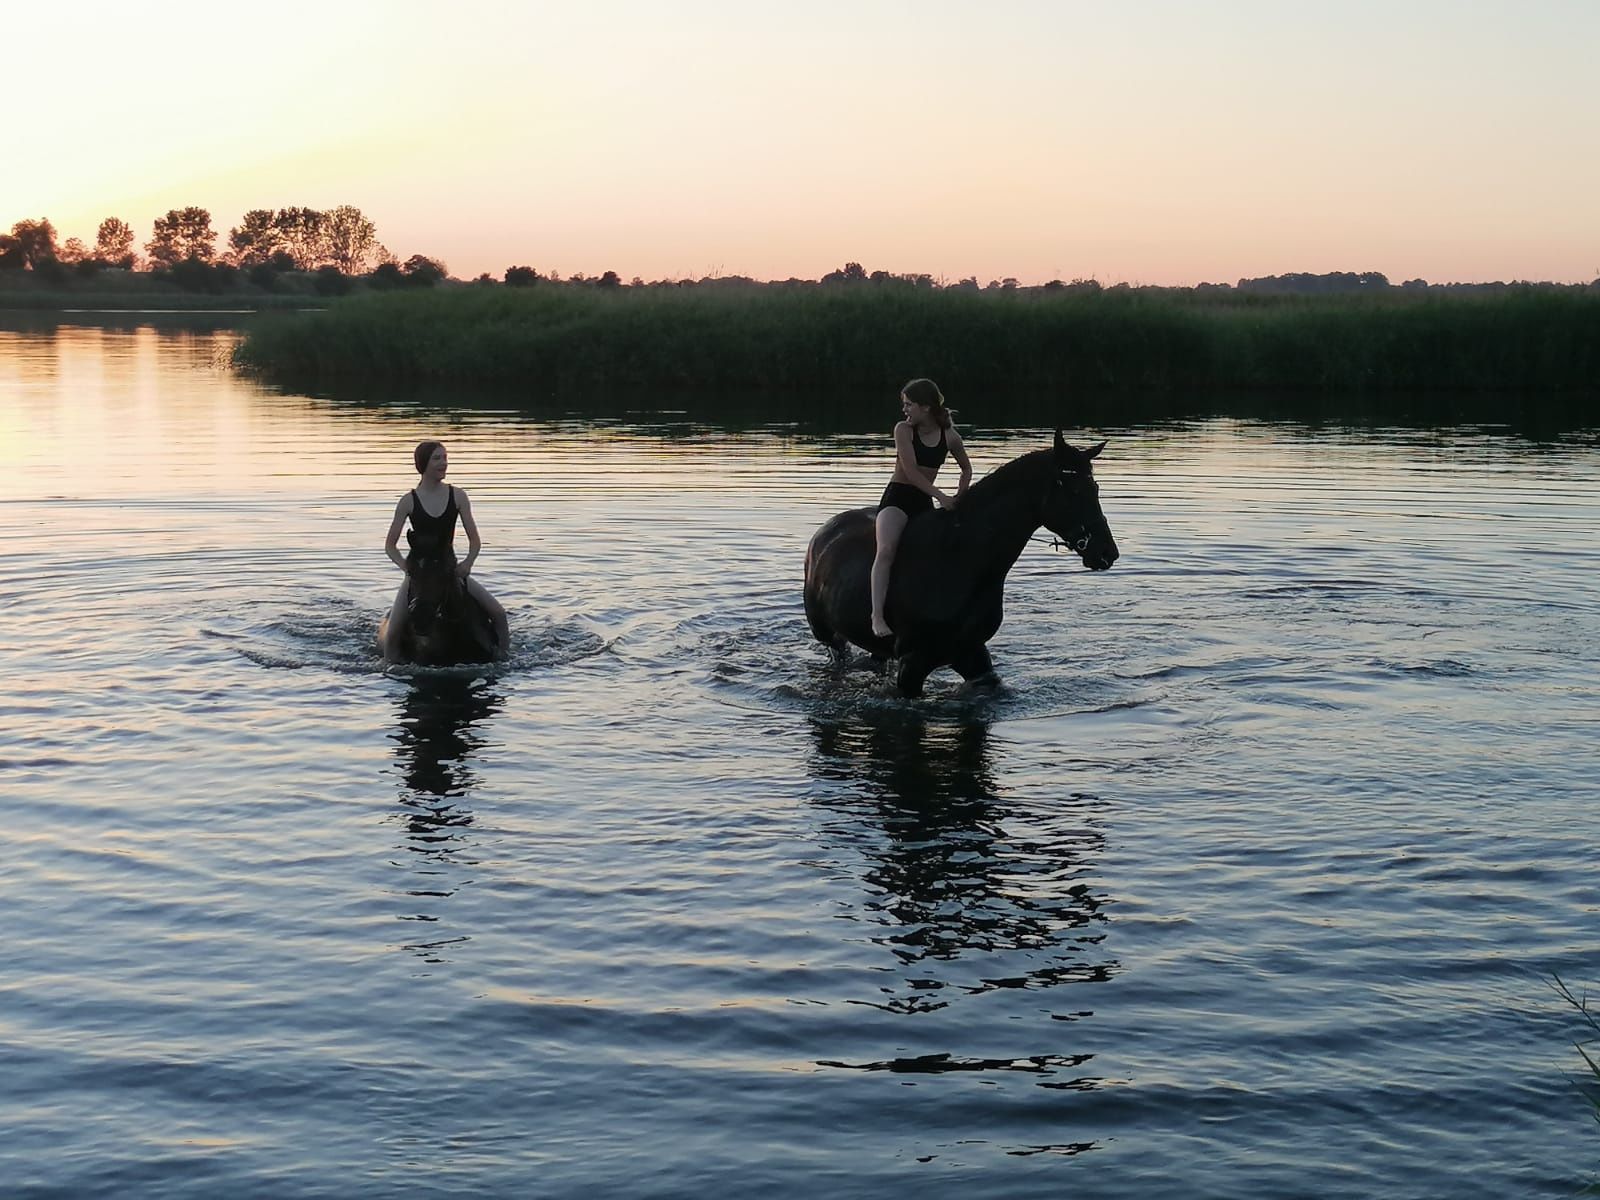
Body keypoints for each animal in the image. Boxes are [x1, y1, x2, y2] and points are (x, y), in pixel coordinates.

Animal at [806, 428, 1120, 694]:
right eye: (1074, 491)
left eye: (1096, 489)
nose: (1107, 552)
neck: (959, 560)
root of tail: (823, 534)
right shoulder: (913, 662)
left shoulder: (972, 653)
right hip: (829, 636)